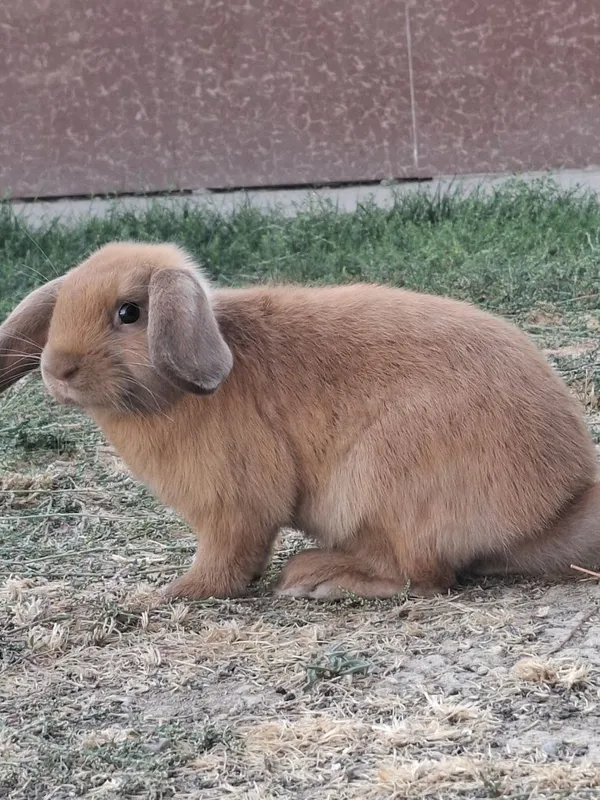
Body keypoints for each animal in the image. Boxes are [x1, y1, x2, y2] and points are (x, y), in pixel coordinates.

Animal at [1, 240, 599, 601]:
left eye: (129, 312)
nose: (58, 369)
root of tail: (553, 508)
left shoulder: (233, 504)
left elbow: (228, 555)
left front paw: (178, 592)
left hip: (383, 481)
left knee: (423, 577)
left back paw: (315, 578)